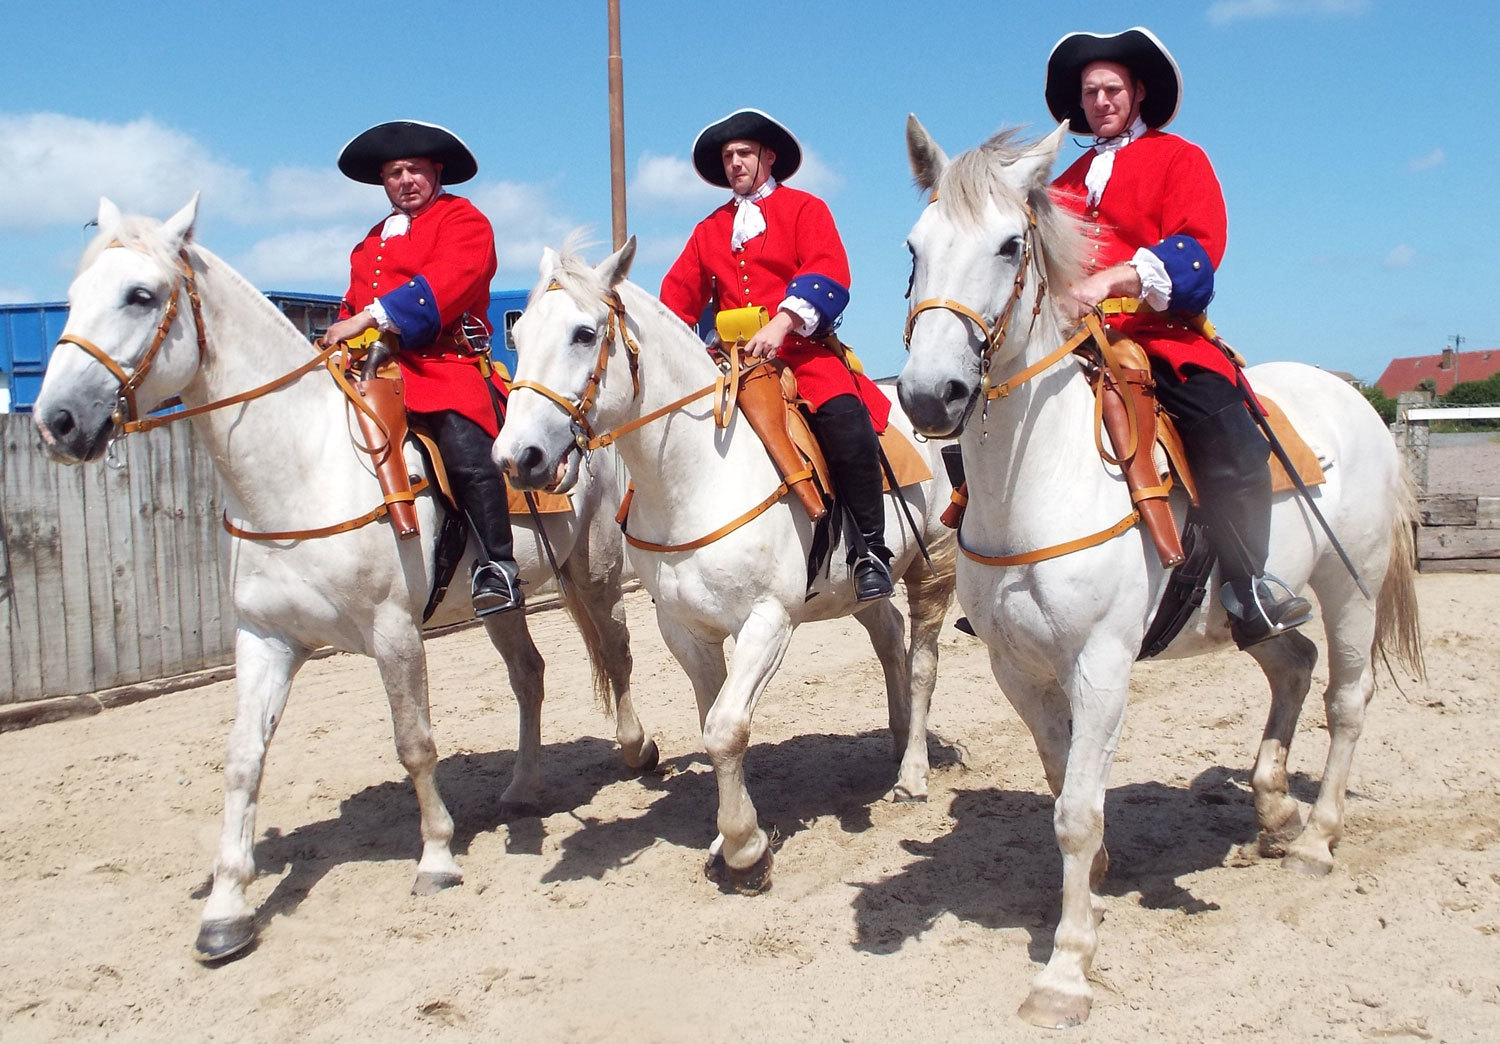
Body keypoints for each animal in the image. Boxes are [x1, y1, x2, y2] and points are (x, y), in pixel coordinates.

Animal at [32, 195, 657, 960]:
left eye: (141, 295)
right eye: (73, 297)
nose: (57, 421)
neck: (301, 469)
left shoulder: (394, 634)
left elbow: (415, 743)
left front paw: (436, 857)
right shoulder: (265, 639)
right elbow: (242, 758)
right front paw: (226, 908)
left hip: (593, 571)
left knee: (617, 654)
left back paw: (636, 750)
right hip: (500, 598)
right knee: (529, 676)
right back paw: (522, 787)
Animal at [498, 243, 954, 888]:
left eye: (584, 334)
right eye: (517, 337)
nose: (517, 458)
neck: (696, 475)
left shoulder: (768, 621)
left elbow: (726, 727)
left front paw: (744, 847)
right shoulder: (684, 629)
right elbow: (712, 720)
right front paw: (728, 833)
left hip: (935, 568)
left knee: (922, 662)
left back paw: (912, 773)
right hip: (856, 585)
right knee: (890, 636)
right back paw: (894, 740)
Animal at [894, 122, 1422, 1026]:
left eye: (1008, 245)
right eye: (914, 247)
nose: (931, 396)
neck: (1040, 478)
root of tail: (1352, 401)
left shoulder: (1102, 665)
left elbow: (1076, 810)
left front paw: (1066, 970)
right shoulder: (1017, 668)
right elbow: (1062, 782)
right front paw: (1098, 884)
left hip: (1350, 588)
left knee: (1346, 698)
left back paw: (1317, 838)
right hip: (1250, 609)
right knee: (1293, 663)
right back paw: (1273, 808)